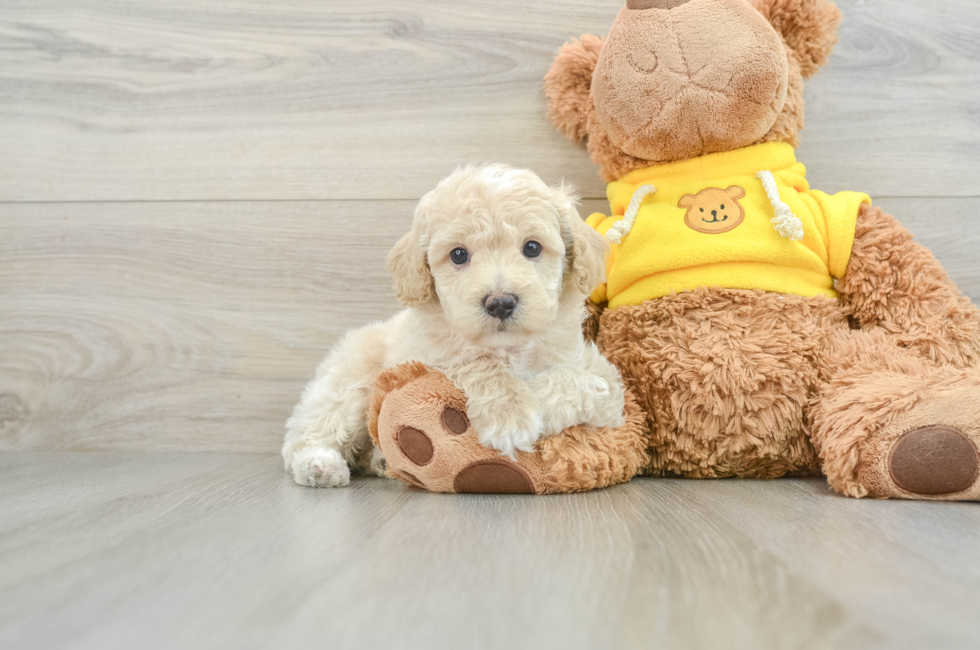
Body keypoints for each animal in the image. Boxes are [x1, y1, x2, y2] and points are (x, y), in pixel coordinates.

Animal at [280, 163, 624, 486]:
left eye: (532, 247)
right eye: (458, 254)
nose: (500, 302)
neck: (509, 347)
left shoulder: (603, 384)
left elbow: (591, 384)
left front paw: (535, 400)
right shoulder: (430, 357)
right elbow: (476, 362)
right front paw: (510, 414)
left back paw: (379, 460)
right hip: (348, 384)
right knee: (306, 434)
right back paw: (320, 466)